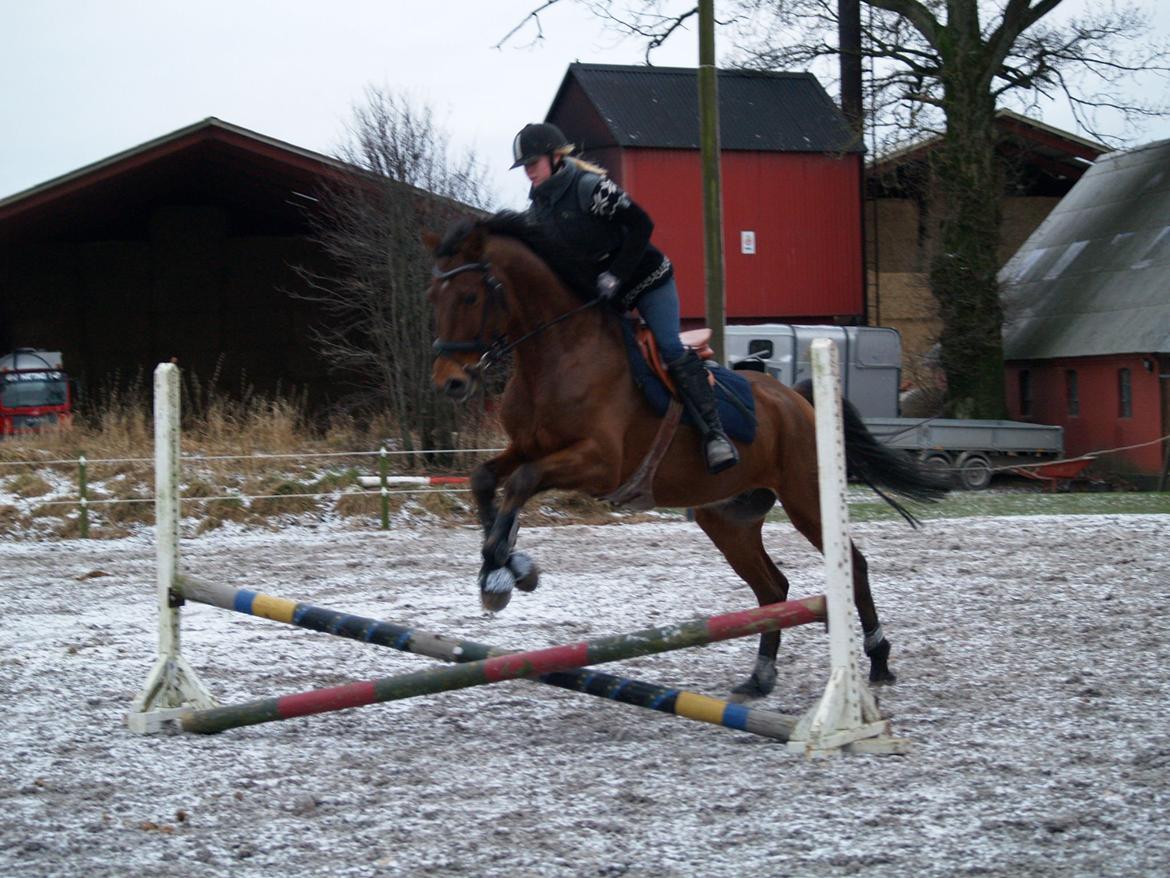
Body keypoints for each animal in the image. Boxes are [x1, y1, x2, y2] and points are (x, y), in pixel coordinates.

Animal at [423, 213, 950, 702]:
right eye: (433, 297)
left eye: (468, 297)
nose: (450, 382)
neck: (558, 353)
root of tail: (798, 400)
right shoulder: (527, 447)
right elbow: (486, 478)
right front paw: (502, 567)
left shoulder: (598, 463)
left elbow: (522, 482)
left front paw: (505, 570)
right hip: (728, 519)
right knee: (772, 588)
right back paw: (760, 676)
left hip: (806, 498)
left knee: (852, 566)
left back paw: (878, 657)